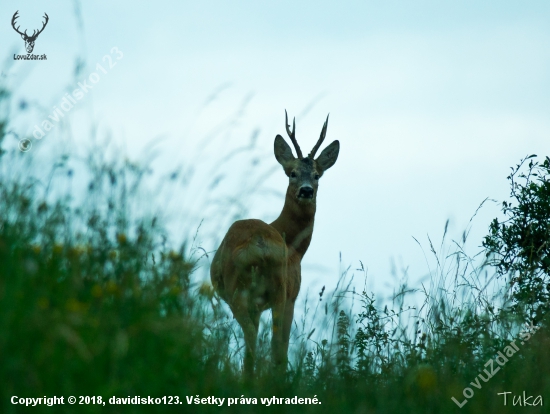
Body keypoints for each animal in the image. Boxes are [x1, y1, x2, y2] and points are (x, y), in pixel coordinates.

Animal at [211, 111, 340, 376]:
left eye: (317, 174)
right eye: (292, 173)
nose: (306, 191)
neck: (293, 245)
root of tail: (258, 244)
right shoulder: (293, 293)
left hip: (258, 293)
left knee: (261, 339)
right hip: (268, 292)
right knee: (271, 343)